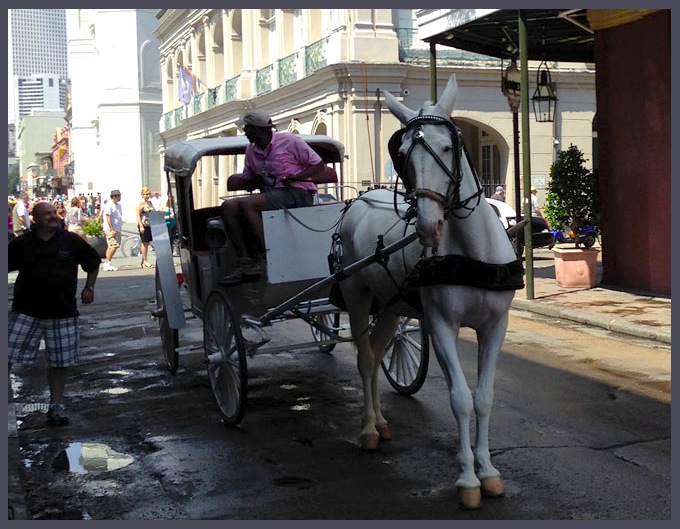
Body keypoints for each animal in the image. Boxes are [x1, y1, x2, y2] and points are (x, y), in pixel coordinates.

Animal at [338, 74, 524, 508]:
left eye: (447, 146)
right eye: (402, 153)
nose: (427, 226)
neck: (472, 253)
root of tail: (359, 198)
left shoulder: (495, 326)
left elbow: (484, 397)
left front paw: (488, 472)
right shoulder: (440, 325)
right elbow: (460, 398)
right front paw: (468, 479)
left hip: (390, 307)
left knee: (377, 352)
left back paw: (382, 422)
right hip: (356, 295)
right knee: (365, 360)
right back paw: (368, 428)